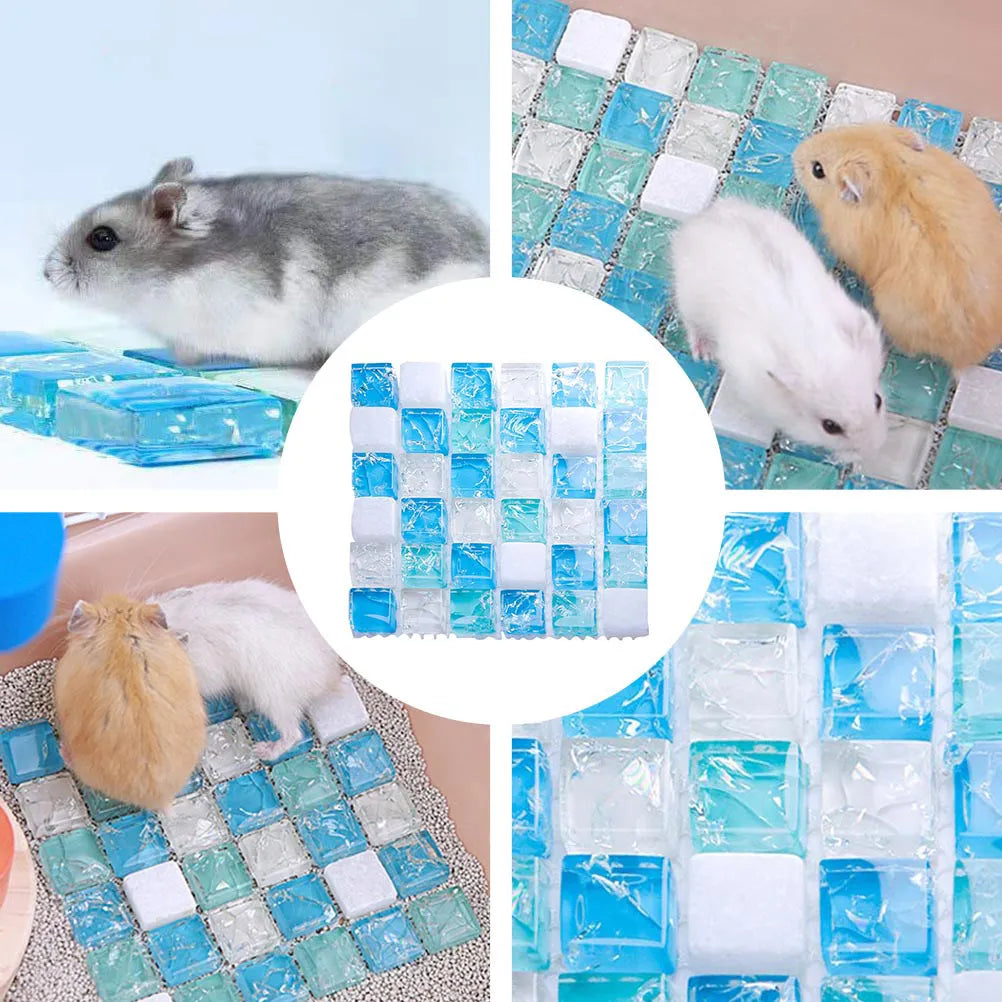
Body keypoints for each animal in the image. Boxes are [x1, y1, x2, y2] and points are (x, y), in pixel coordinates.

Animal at [671, 197, 887, 460]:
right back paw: (703, 355)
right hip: (689, 298)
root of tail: (698, 220)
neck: (810, 343)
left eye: (878, 400)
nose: (877, 449)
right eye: (830, 427)